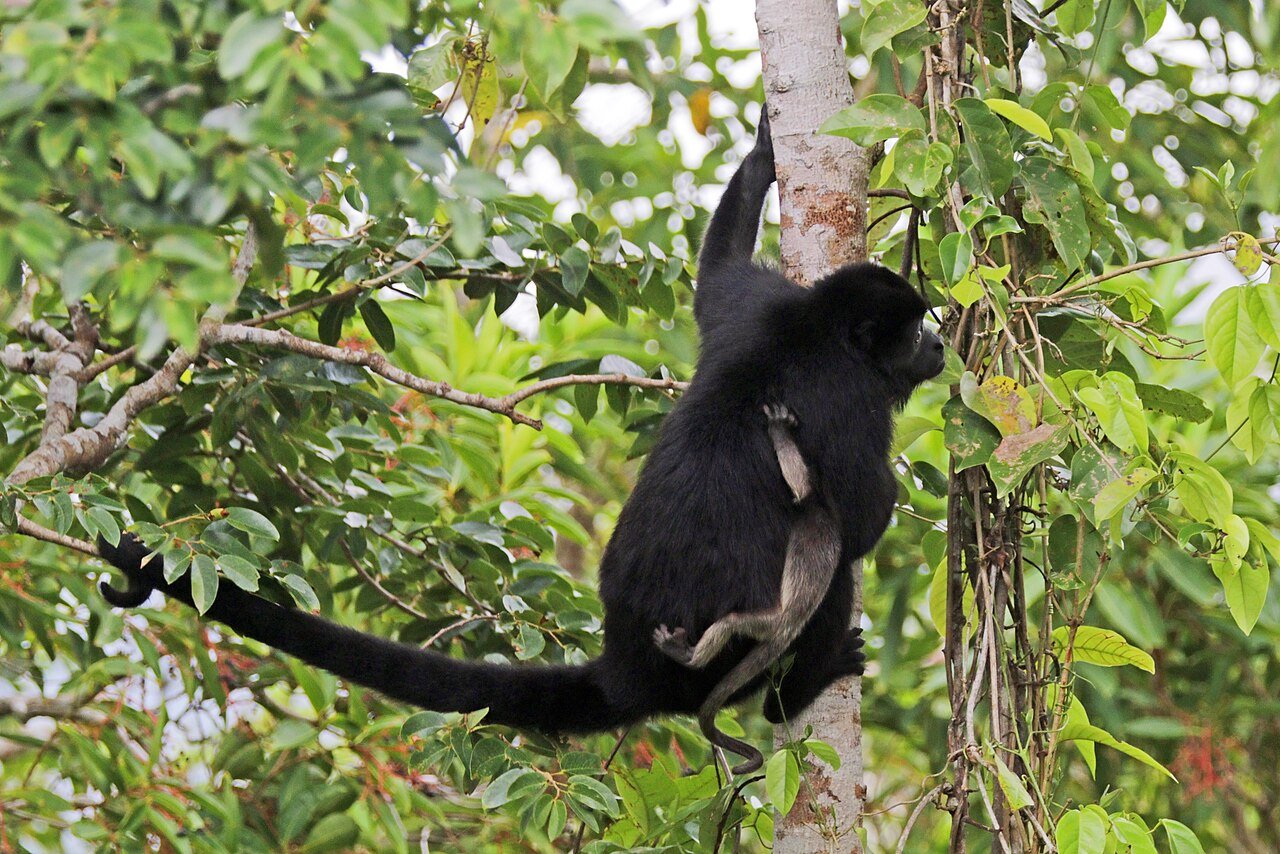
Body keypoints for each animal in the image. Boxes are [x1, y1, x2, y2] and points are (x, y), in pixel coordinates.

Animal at [655, 404, 855, 773]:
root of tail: (789, 627)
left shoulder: (812, 496)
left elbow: (798, 481)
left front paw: (779, 430)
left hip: (767, 622)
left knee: (731, 623)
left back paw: (687, 655)